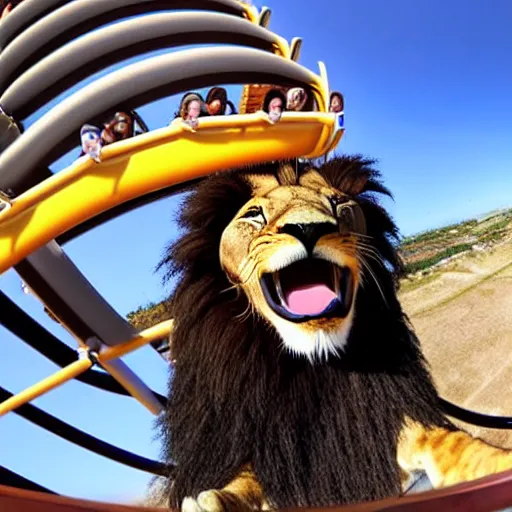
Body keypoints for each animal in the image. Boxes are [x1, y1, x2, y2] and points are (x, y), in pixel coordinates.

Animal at [158, 156, 512, 512]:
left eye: (338, 203)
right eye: (255, 214)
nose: (309, 228)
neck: (316, 361)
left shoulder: (390, 418)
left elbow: (454, 445)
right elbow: (247, 477)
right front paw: (213, 501)